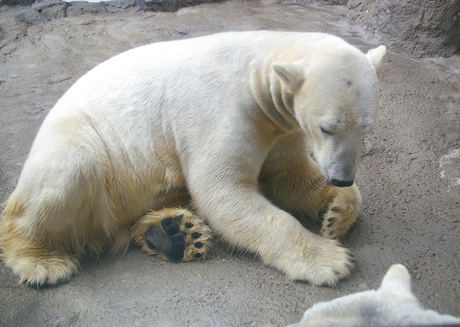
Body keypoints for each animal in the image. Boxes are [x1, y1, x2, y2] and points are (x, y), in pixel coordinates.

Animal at [0, 31, 386, 288]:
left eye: (366, 127)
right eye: (326, 127)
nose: (341, 177)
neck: (258, 76)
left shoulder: (282, 127)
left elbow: (288, 176)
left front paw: (337, 213)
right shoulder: (224, 114)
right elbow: (223, 189)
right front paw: (330, 260)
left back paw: (173, 233)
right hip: (88, 146)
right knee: (69, 173)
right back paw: (42, 261)